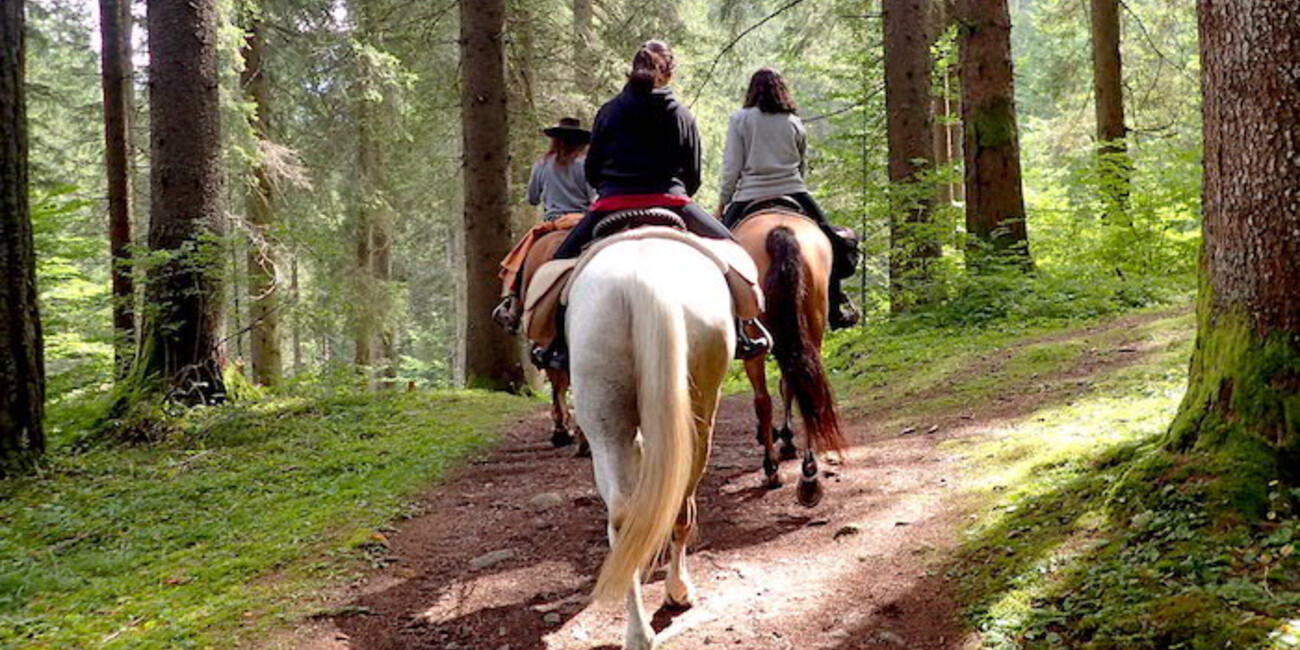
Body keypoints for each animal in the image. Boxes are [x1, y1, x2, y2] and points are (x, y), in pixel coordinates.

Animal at [566, 233, 738, 650]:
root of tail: (642, 280)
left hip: (605, 412)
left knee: (625, 513)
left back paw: (638, 631)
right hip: (700, 408)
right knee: (677, 503)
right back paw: (675, 592)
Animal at [733, 210, 842, 504]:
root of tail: (780, 230)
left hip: (754, 332)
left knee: (763, 399)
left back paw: (772, 469)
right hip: (813, 321)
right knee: (806, 386)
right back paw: (809, 476)